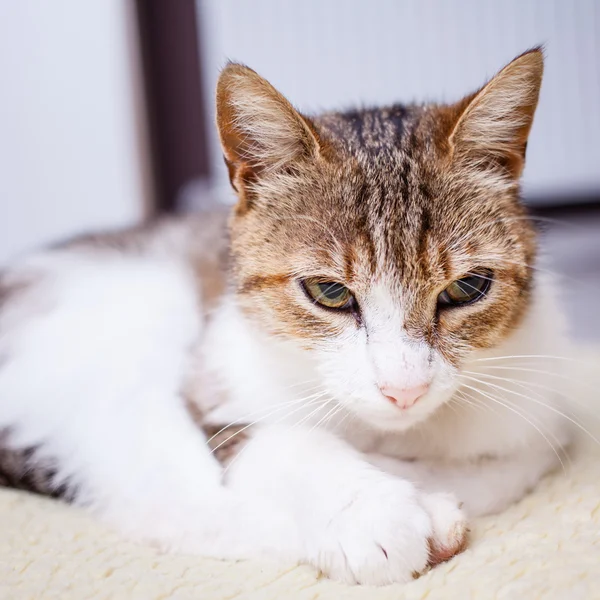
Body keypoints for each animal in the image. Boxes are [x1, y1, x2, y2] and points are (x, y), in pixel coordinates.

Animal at [0, 49, 572, 584]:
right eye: (329, 292)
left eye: (467, 288)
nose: (403, 389)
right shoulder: (215, 385)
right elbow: (281, 441)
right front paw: (372, 513)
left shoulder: (532, 414)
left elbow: (500, 464)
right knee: (165, 501)